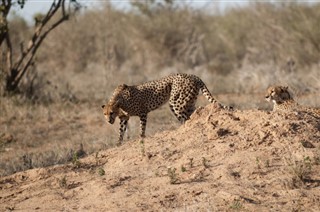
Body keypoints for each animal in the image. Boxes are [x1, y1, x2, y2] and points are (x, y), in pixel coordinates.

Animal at [102, 73, 230, 144]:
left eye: (111, 113)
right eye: (105, 114)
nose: (108, 121)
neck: (120, 101)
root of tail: (193, 75)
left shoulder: (143, 112)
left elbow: (142, 129)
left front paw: (141, 138)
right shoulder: (124, 118)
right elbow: (121, 131)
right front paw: (118, 143)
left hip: (176, 102)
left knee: (186, 118)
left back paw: (184, 129)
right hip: (188, 102)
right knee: (192, 116)